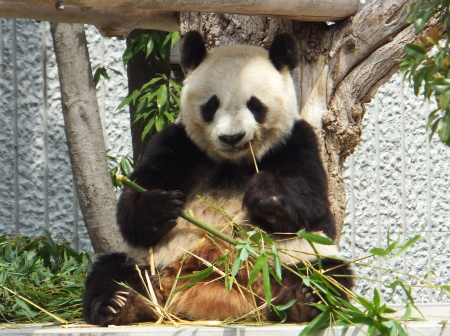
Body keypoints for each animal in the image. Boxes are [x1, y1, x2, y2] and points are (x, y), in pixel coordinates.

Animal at [82, 30, 354, 326]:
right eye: (211, 106)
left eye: (255, 104)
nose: (232, 137)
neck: (232, 162)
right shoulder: (179, 145)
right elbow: (132, 210)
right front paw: (161, 205)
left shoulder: (296, 141)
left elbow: (313, 203)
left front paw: (265, 193)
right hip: (148, 261)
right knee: (111, 271)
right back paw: (121, 305)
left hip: (291, 259)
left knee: (328, 274)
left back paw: (302, 302)